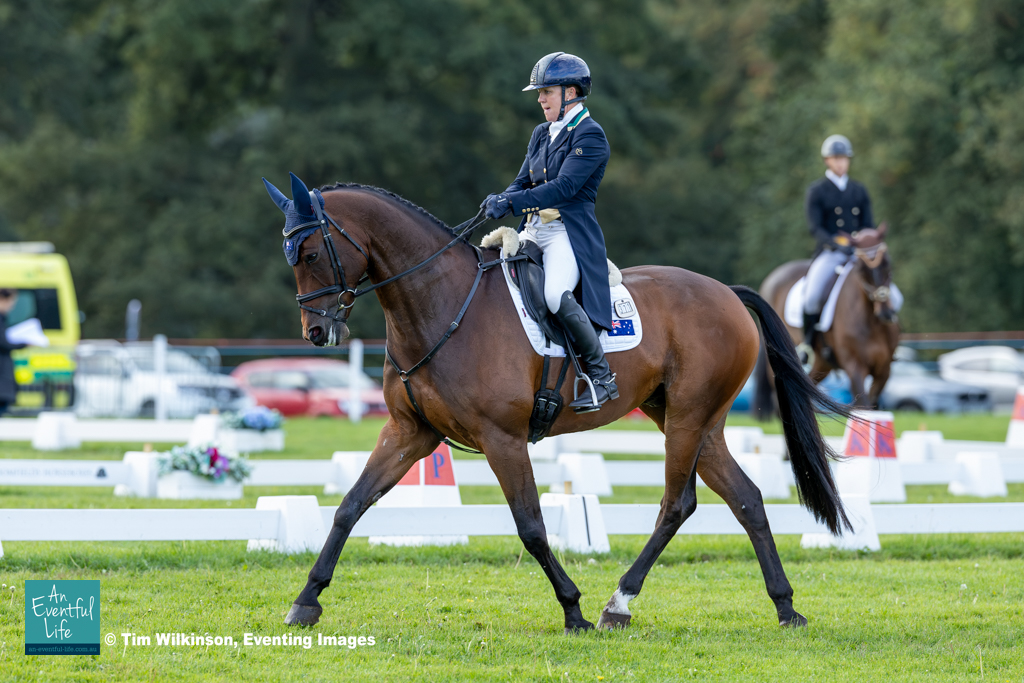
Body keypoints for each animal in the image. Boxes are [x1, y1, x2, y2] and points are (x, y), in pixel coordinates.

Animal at [263, 174, 851, 633]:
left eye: (311, 253)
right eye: (290, 256)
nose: (317, 332)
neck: (441, 305)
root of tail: (727, 292)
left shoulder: (501, 438)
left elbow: (531, 526)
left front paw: (573, 610)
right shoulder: (410, 433)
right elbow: (350, 506)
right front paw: (306, 601)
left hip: (689, 417)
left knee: (675, 505)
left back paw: (618, 603)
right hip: (689, 419)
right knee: (744, 498)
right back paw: (784, 607)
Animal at [754, 226, 900, 416]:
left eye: (887, 262)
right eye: (861, 269)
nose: (886, 313)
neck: (871, 322)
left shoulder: (884, 369)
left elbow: (873, 403)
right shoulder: (855, 367)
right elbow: (864, 405)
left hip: (821, 364)